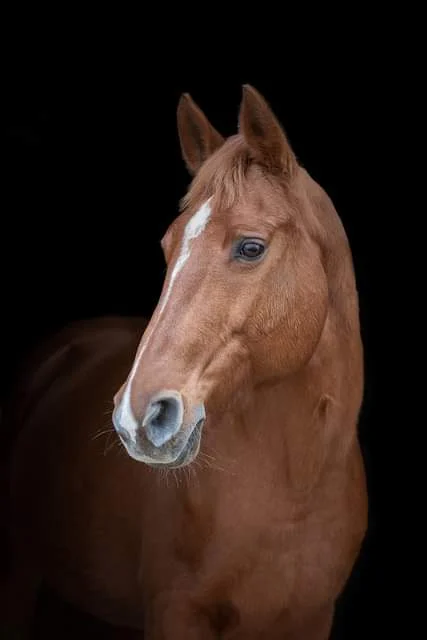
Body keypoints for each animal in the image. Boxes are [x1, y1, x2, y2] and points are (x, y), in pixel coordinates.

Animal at [2, 85, 368, 639]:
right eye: (167, 246)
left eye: (251, 247)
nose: (136, 417)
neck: (292, 494)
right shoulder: (176, 612)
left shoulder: (312, 619)